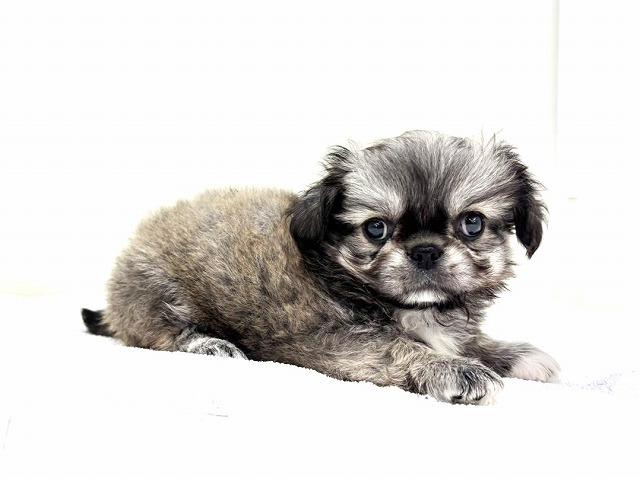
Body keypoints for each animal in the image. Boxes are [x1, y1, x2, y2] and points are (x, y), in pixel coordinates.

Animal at [83, 130, 559, 404]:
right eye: (376, 229)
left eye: (472, 223)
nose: (425, 251)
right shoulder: (330, 339)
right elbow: (398, 347)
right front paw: (449, 369)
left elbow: (468, 341)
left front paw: (510, 354)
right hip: (158, 295)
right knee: (158, 333)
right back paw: (208, 344)